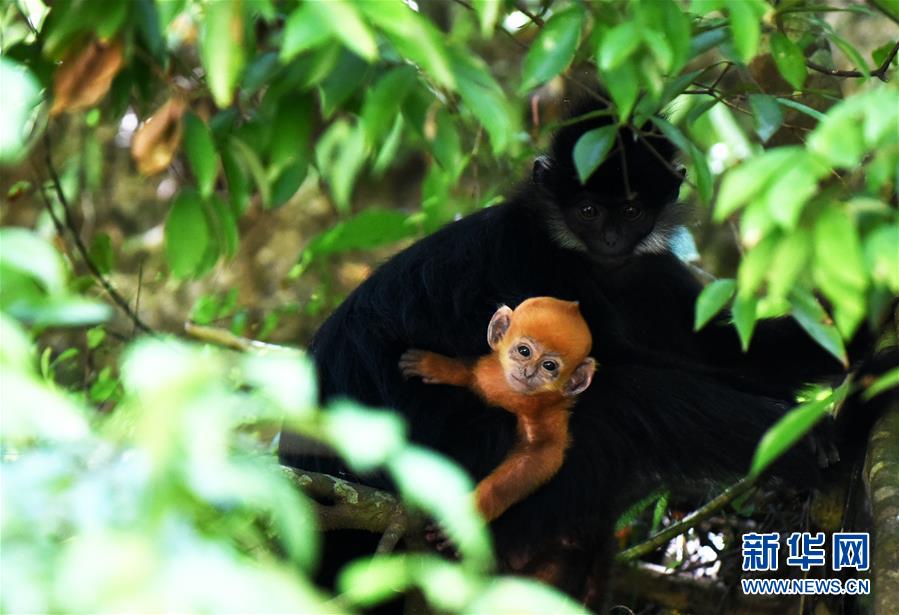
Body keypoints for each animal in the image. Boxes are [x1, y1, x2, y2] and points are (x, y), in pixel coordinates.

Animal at [400, 296, 596, 524]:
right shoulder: (488, 375)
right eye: (524, 351)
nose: (528, 373)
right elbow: (472, 375)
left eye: (549, 366)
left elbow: (540, 455)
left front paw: (472, 511)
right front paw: (436, 365)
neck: (515, 396)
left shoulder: (549, 413)